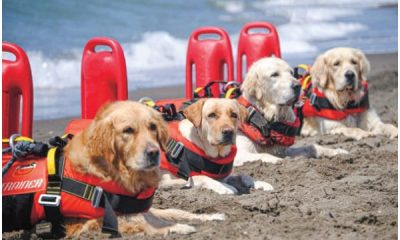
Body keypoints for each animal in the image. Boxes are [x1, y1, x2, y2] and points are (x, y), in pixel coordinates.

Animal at [63, 100, 225, 237]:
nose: (154, 152)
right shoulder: (94, 220)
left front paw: (208, 216)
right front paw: (179, 227)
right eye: (128, 130)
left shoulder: (137, 208)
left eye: (153, 127)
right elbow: (153, 223)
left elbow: (173, 211)